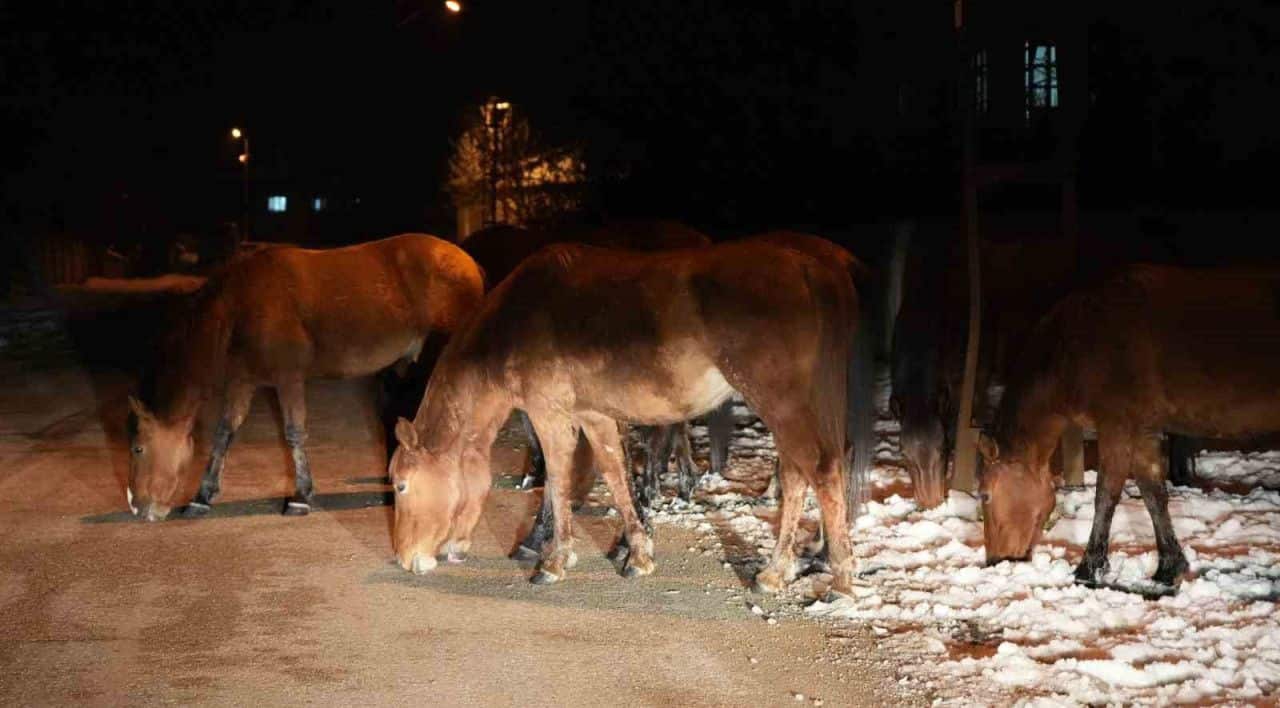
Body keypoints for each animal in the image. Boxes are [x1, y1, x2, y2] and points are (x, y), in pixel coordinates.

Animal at [126, 231, 483, 519]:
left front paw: (300, 496)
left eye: (138, 448)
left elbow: (293, 432)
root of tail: (470, 264)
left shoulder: (289, 377)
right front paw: (202, 496)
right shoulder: (243, 381)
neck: (238, 306)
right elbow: (225, 432)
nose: (137, 507)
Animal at [389, 240, 865, 594]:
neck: (511, 324)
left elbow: (558, 481)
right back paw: (786, 567)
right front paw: (637, 552)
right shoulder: (594, 415)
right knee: (799, 474)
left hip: (783, 404)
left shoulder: (550, 415)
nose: (404, 557)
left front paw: (554, 559)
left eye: (400, 484)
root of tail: (811, 267)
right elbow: (616, 476)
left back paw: (831, 576)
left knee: (821, 471)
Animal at [972, 263, 1280, 591]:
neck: (1076, 349)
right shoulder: (1143, 431)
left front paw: (1088, 569)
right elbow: (1154, 495)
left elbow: (1106, 495)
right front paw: (1168, 569)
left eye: (985, 495)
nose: (994, 560)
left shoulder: (1116, 426)